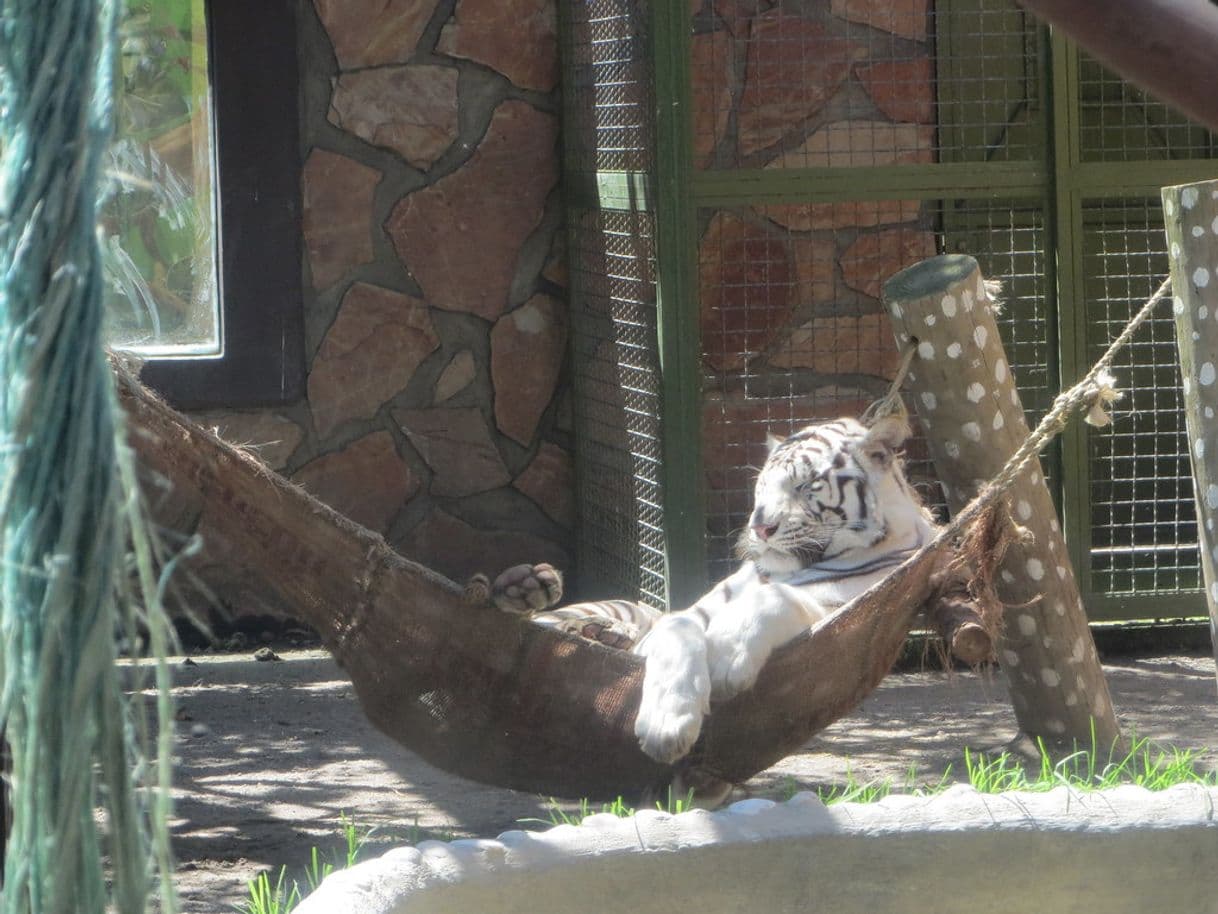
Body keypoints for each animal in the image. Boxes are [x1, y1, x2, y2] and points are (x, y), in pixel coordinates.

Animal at [479, 414, 935, 765]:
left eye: (806, 486)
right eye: (761, 488)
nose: (760, 527)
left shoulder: (846, 603)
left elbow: (776, 599)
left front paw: (726, 661)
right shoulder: (683, 619)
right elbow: (678, 630)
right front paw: (668, 725)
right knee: (540, 624)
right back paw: (535, 596)